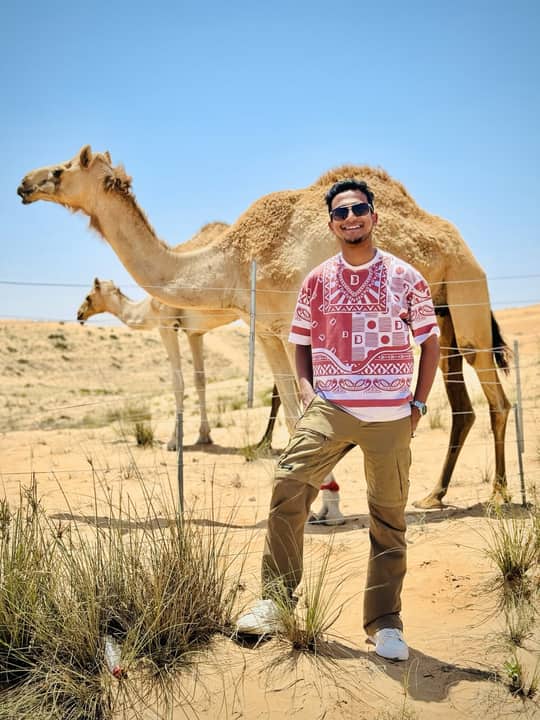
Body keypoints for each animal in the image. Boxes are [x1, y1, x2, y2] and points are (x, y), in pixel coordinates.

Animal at [76, 277, 281, 450]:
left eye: (88, 297)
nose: (79, 314)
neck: (148, 308)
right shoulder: (194, 333)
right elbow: (200, 380)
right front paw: (204, 436)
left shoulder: (167, 325)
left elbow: (178, 383)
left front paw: (174, 442)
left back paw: (266, 443)